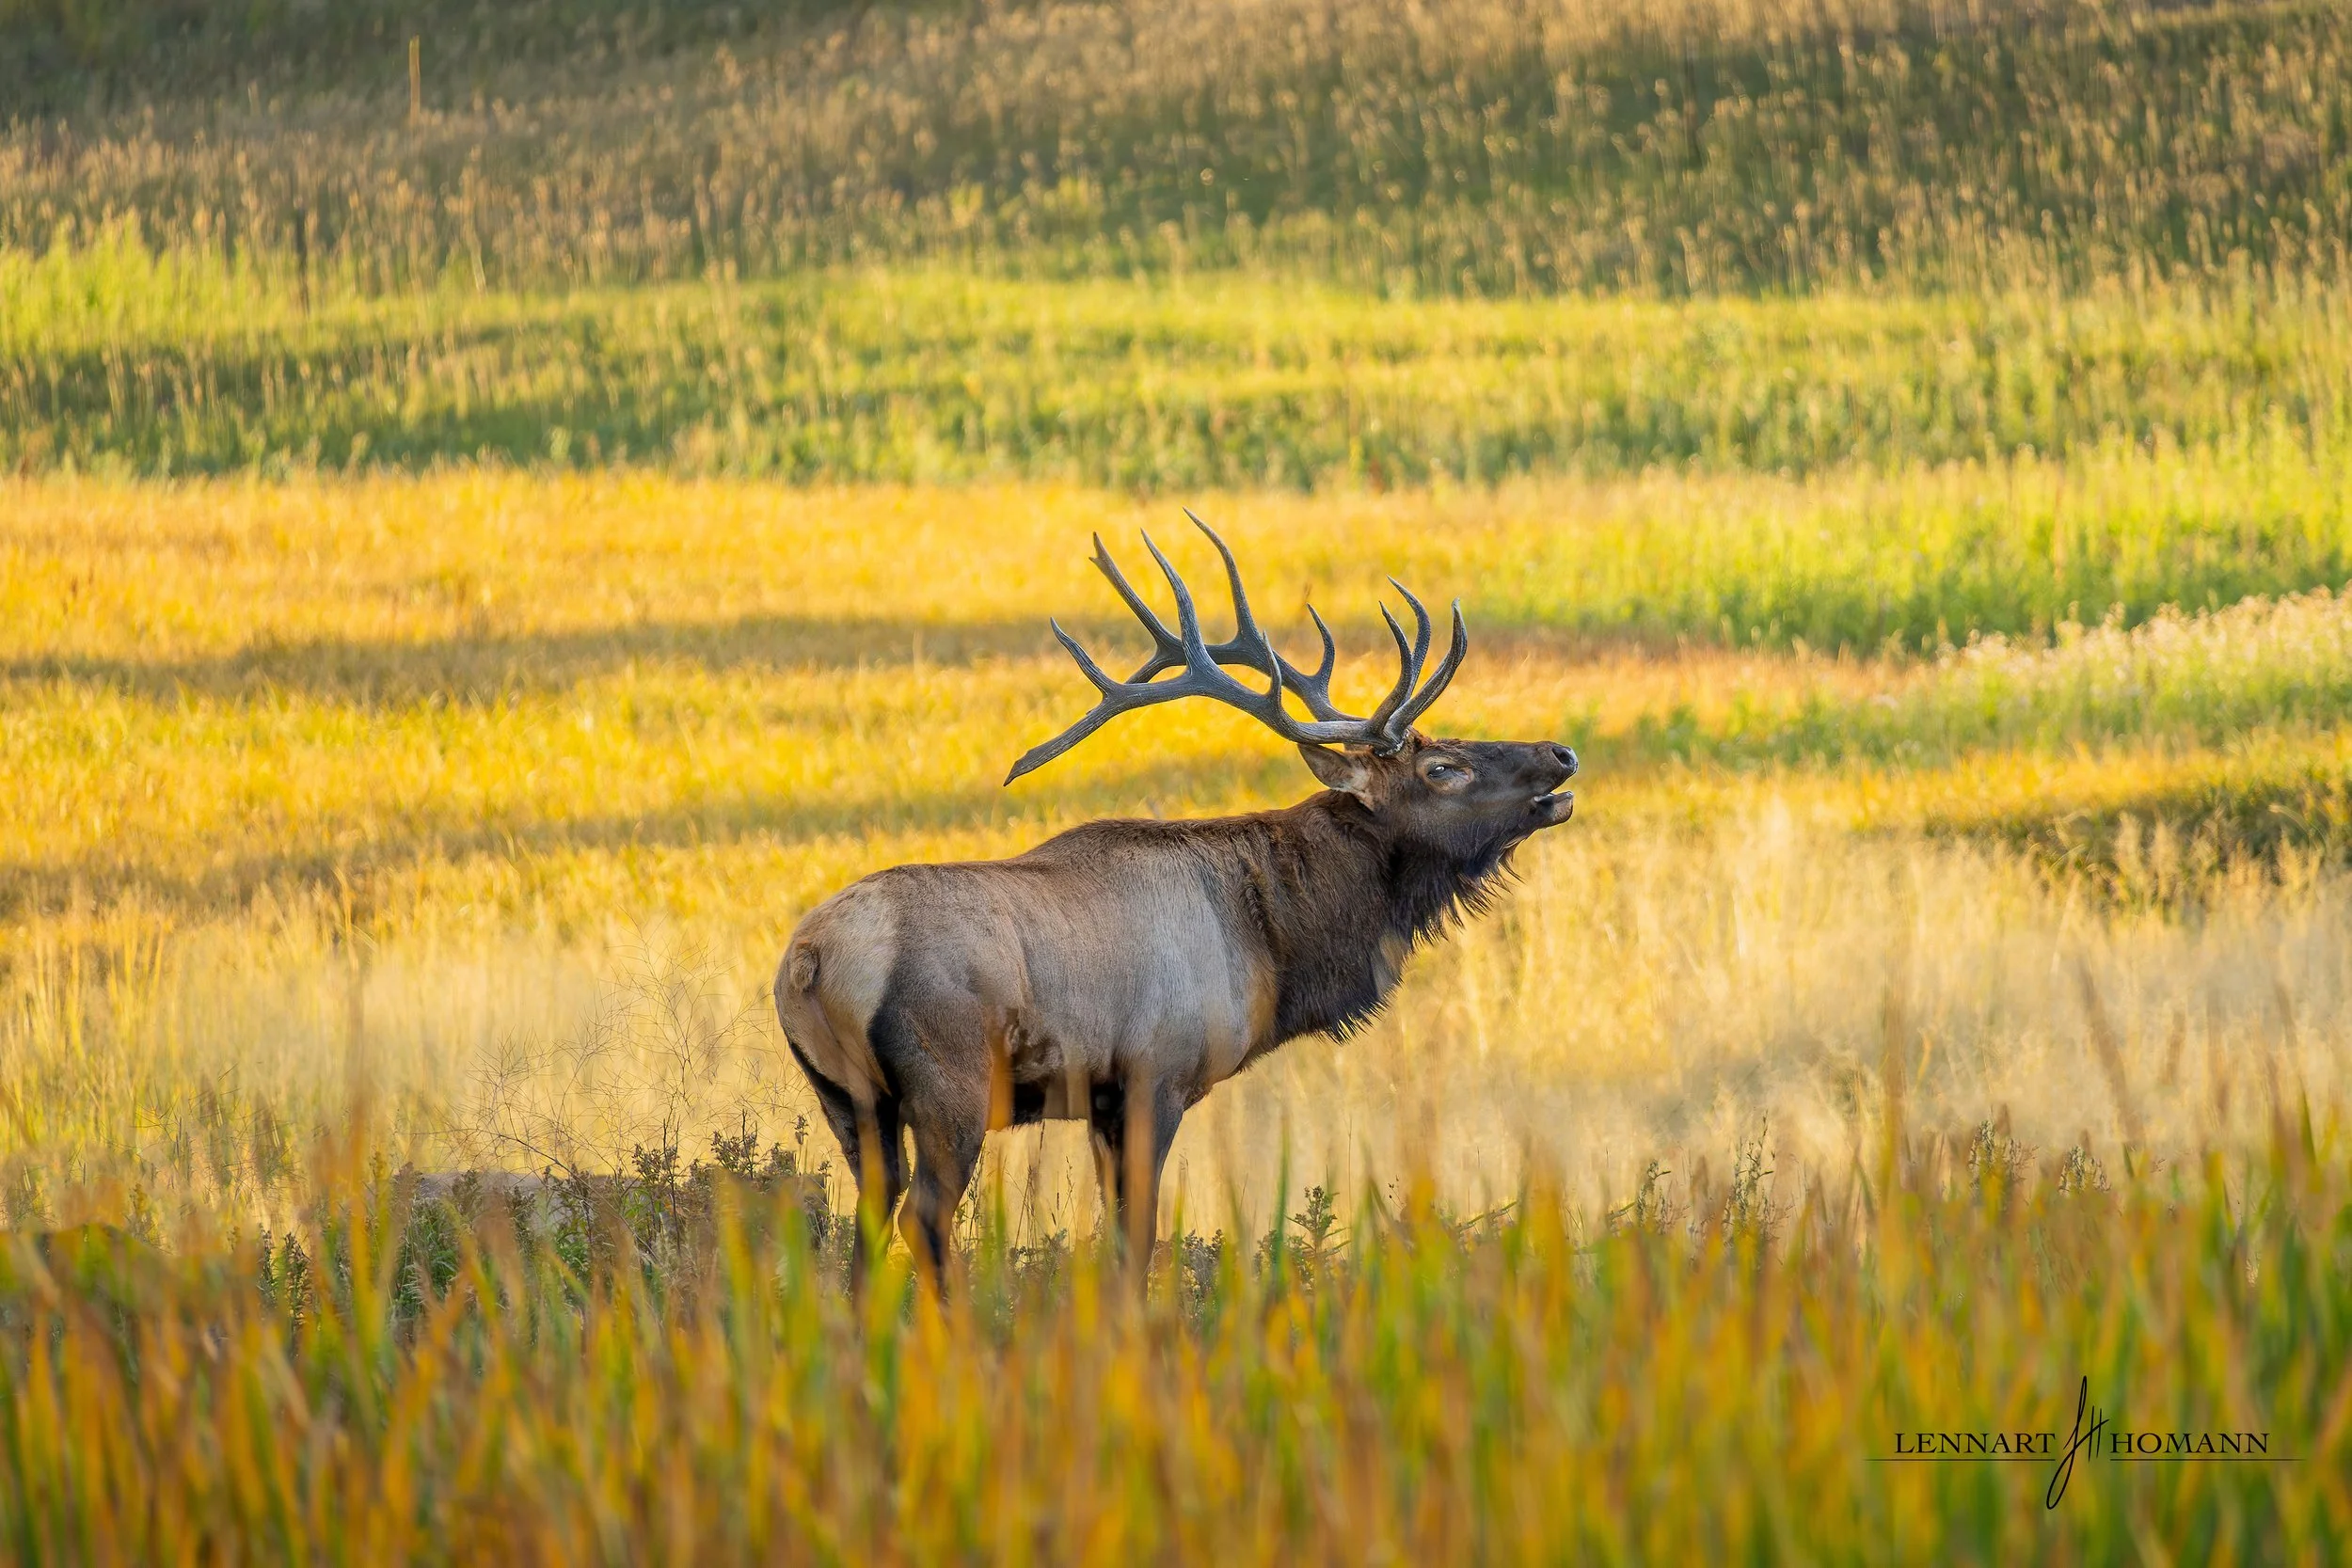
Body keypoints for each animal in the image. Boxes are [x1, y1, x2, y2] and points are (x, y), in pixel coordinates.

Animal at [774, 516, 1577, 1289]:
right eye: (1442, 766)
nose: (1561, 753)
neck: (1273, 946)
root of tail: (809, 961)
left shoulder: (1100, 1101)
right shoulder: (1155, 1074)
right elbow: (1137, 1238)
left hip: (848, 1098)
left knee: (870, 1219)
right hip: (951, 1084)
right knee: (925, 1219)